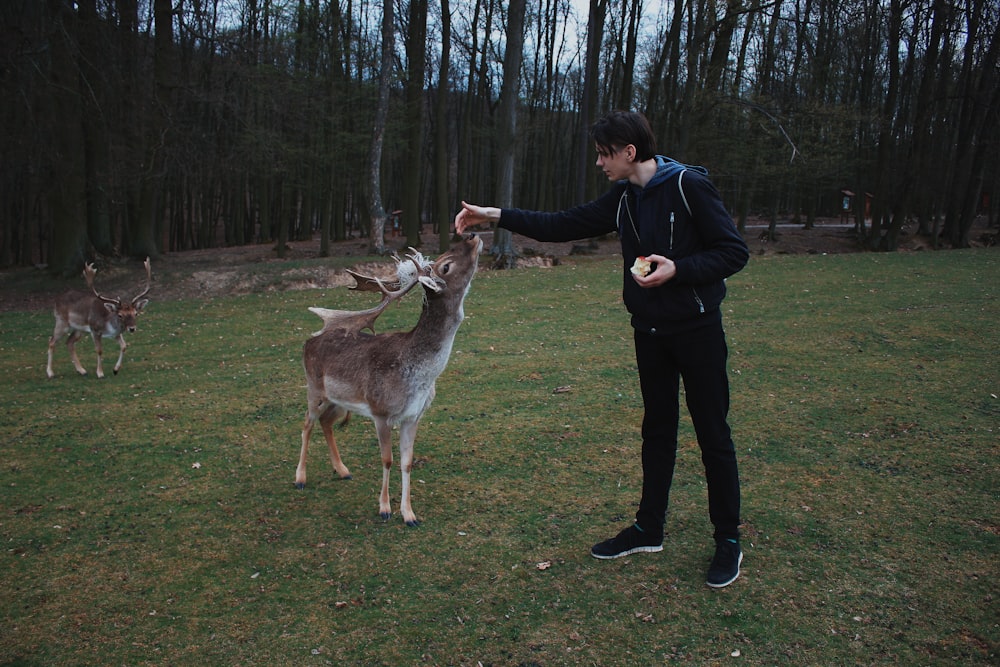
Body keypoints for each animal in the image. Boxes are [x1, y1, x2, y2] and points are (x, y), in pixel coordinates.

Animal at [294, 234, 482, 528]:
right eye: (446, 266)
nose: (472, 237)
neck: (418, 377)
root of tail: (308, 341)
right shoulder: (380, 412)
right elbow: (387, 459)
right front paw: (384, 508)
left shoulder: (413, 416)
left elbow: (406, 462)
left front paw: (409, 514)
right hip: (313, 387)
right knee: (307, 423)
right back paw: (300, 478)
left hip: (339, 399)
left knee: (326, 421)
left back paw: (343, 470)